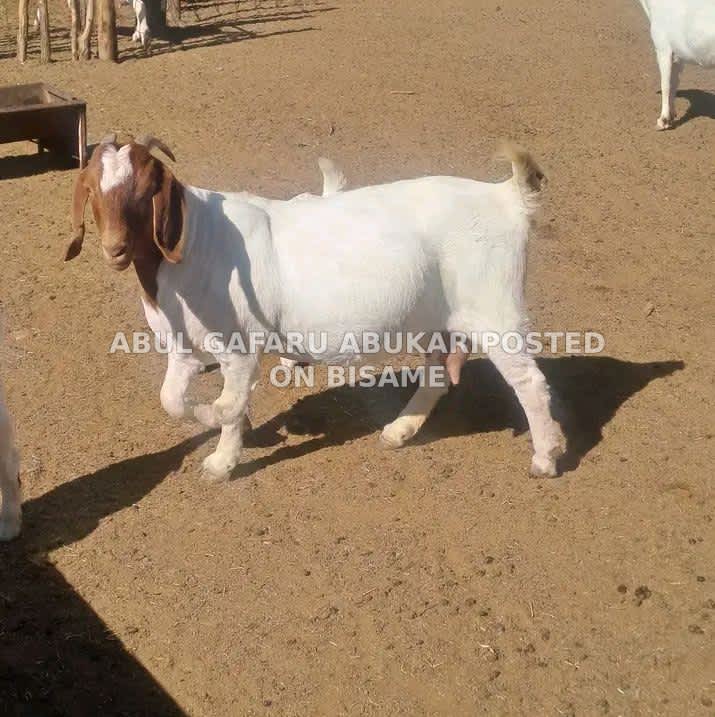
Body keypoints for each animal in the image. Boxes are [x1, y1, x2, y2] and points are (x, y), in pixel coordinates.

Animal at [65, 135, 565, 481]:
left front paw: (222, 455)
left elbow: (229, 402)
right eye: (92, 189)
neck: (194, 244)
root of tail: (506, 197)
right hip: (437, 319)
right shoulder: (185, 349)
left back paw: (545, 456)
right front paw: (220, 432)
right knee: (440, 373)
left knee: (530, 382)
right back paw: (400, 431)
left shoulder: (240, 348)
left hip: (495, 307)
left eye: (146, 187)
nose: (114, 249)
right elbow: (171, 400)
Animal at [637, 0, 715, 129]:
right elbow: (674, 84)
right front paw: (671, 115)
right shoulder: (678, 56)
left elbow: (665, 85)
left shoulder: (663, 49)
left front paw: (663, 121)